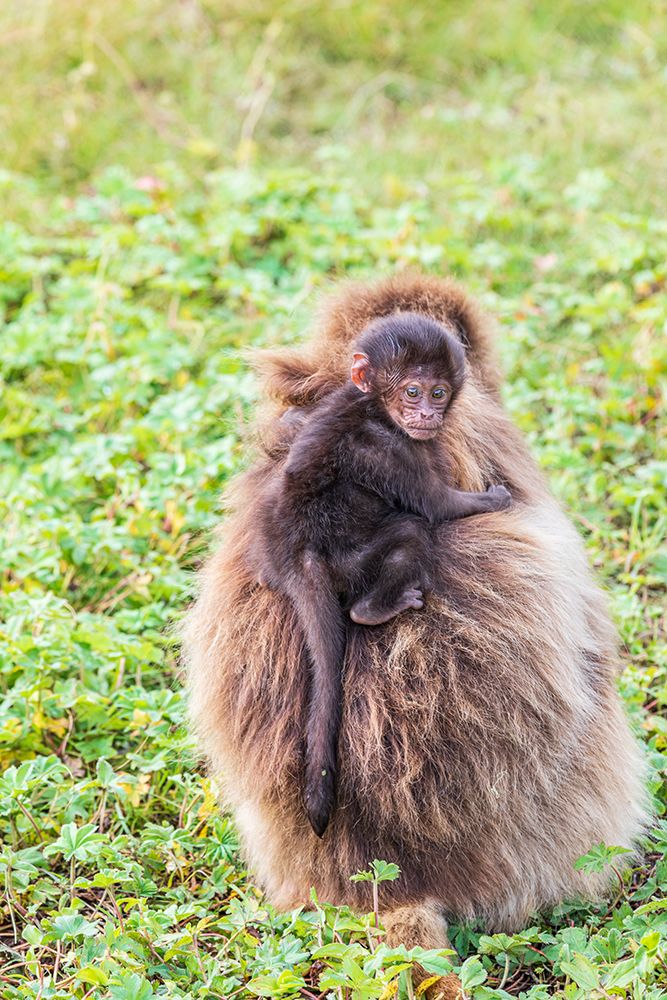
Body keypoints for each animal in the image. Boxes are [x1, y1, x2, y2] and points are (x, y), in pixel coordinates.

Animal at [252, 312, 511, 837]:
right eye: (412, 392)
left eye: (438, 392)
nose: (428, 416)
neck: (371, 404)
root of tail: (298, 556)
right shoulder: (387, 447)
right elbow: (435, 504)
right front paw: (494, 499)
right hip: (352, 560)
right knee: (410, 531)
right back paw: (376, 608)